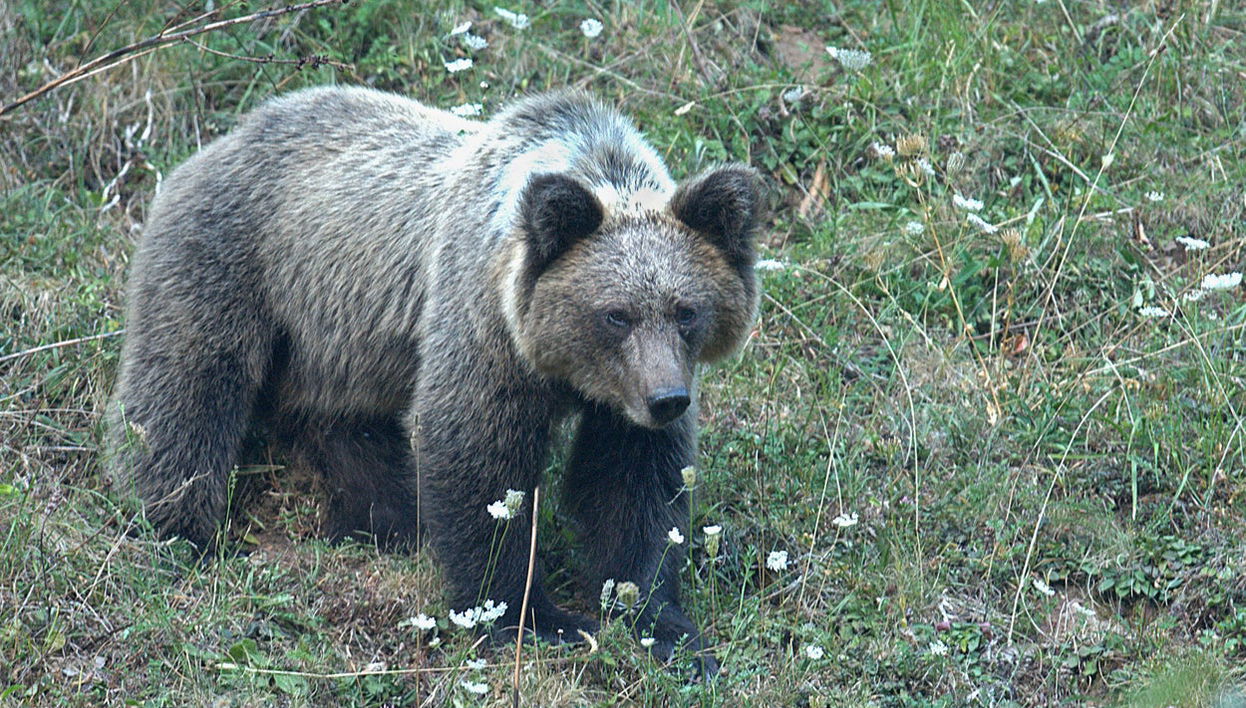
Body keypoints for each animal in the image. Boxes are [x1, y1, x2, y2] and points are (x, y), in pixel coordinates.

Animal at [107, 86, 762, 676]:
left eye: (686, 310)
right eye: (616, 314)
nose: (666, 400)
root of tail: (212, 144)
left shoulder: (622, 399)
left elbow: (635, 486)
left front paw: (665, 629)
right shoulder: (483, 325)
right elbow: (475, 456)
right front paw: (533, 617)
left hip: (339, 341)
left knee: (346, 427)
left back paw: (385, 520)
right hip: (230, 264)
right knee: (186, 390)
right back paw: (179, 528)